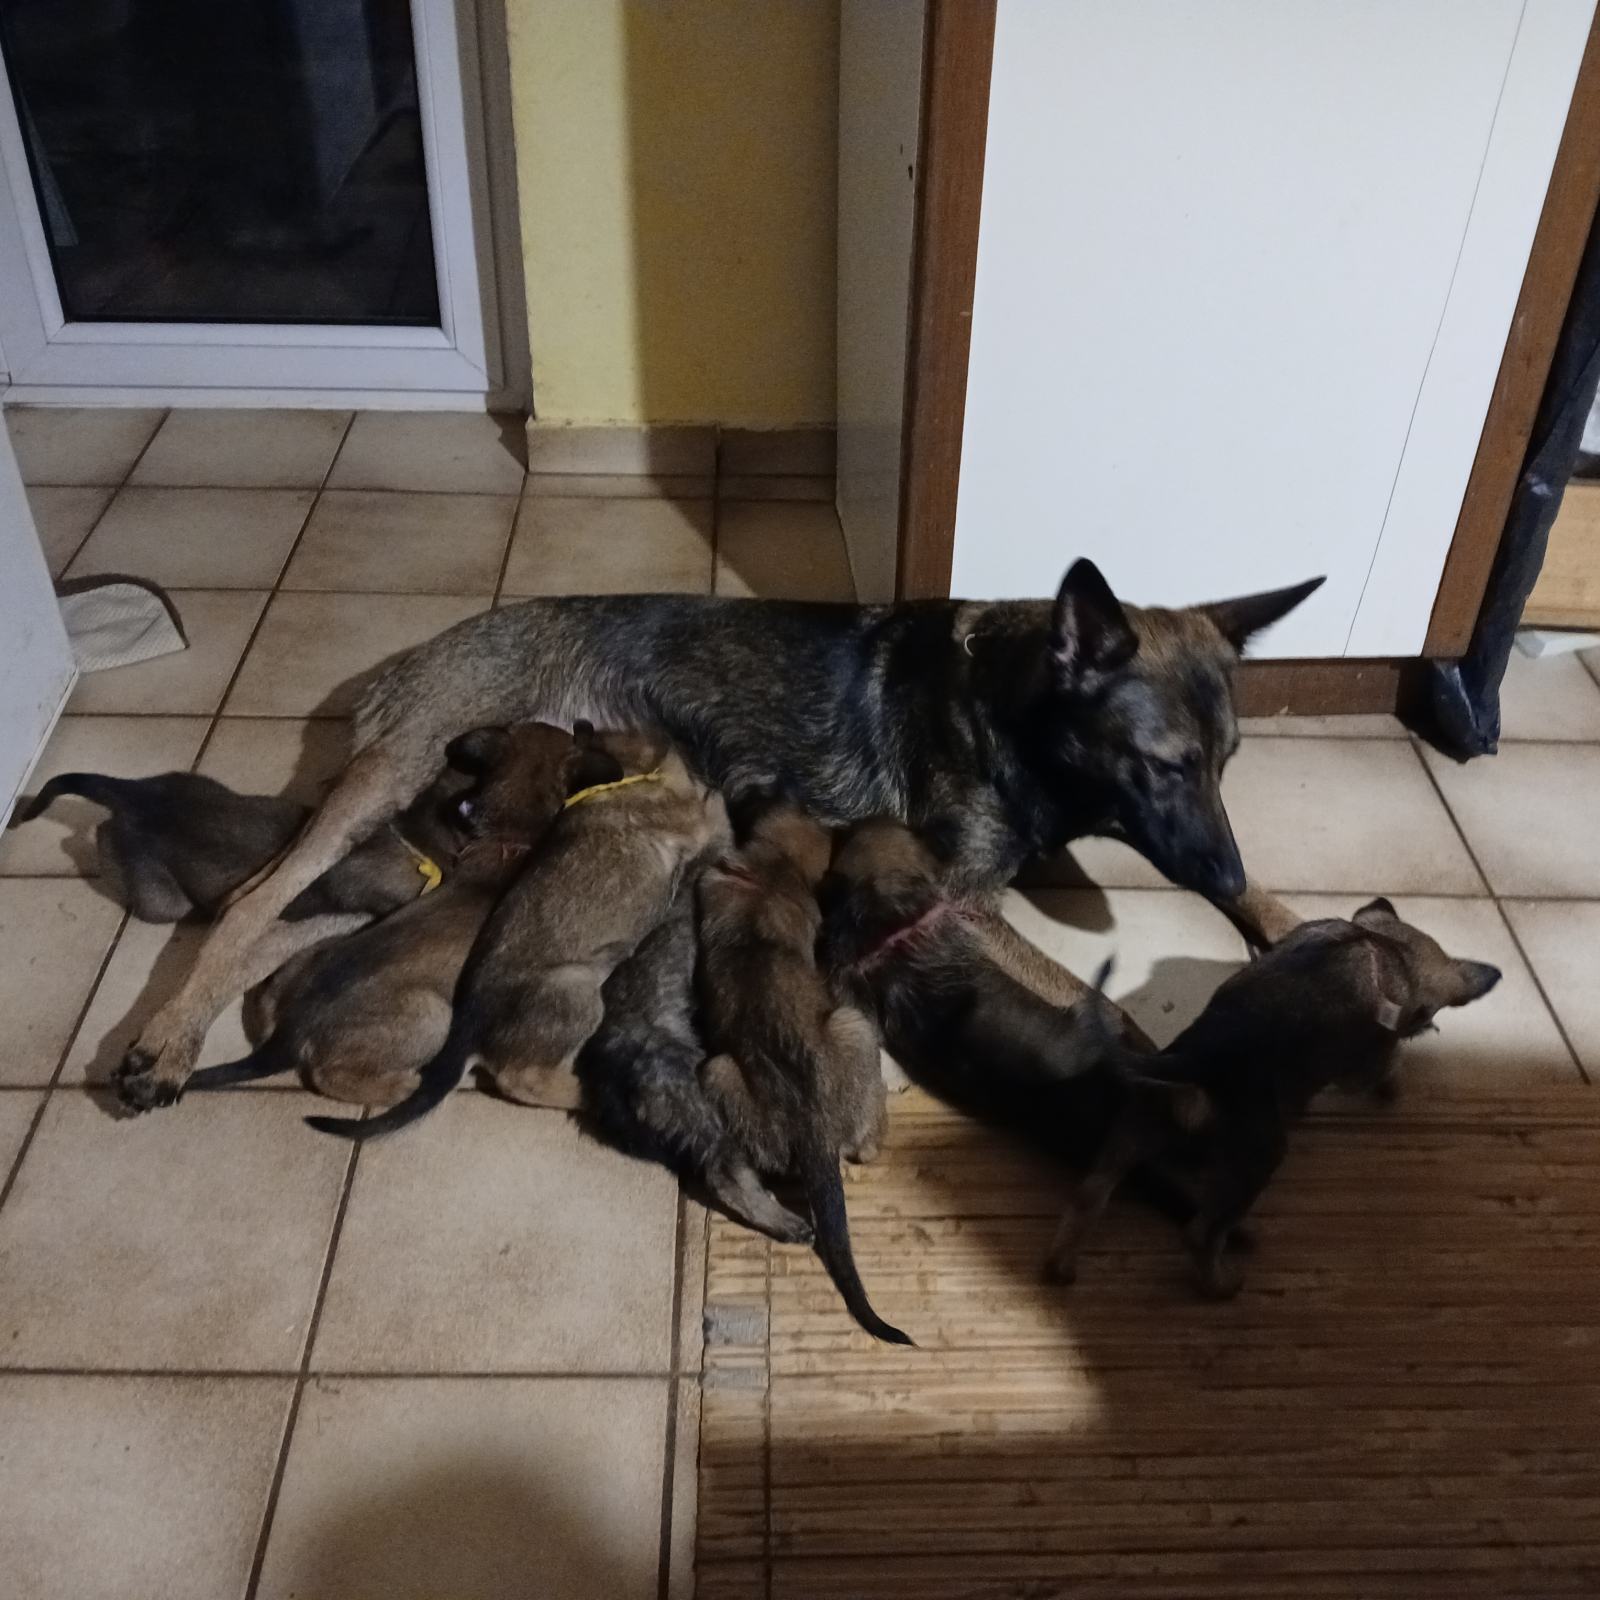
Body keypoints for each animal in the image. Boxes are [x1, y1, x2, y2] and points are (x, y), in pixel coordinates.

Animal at [307, 742, 730, 1140]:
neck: (621, 783)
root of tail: (469, 1027)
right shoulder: (691, 819)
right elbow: (713, 808)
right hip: (573, 991)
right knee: (521, 1078)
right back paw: (587, 1094)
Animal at [696, 805, 910, 1346]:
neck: (774, 871)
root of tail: (813, 1132)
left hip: (720, 1073)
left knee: (728, 1174)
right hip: (853, 1026)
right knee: (865, 1145)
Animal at [1045, 899, 1502, 1298]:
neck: (1385, 943)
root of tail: (1195, 1061)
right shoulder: (1363, 1065)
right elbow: (1389, 1062)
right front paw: (1398, 1075)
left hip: (1134, 1128)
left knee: (1090, 1195)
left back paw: (1062, 1266)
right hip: (1258, 1158)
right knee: (1200, 1235)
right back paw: (1220, 1287)